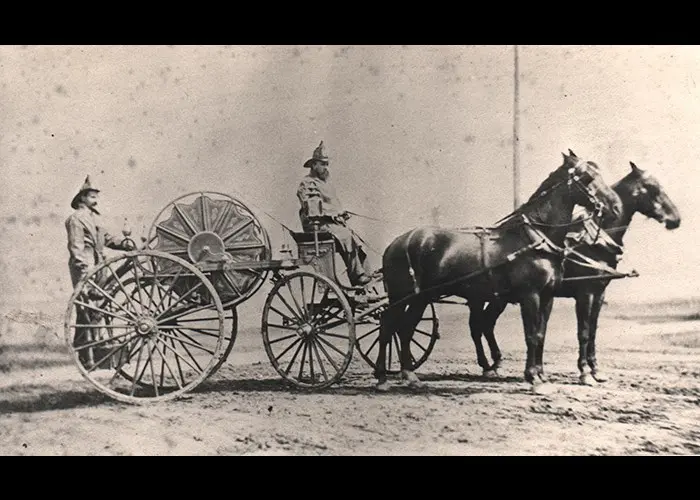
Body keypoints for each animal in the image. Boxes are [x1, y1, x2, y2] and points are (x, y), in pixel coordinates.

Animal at [374, 149, 620, 394]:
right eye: (588, 177)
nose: (615, 207)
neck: (535, 238)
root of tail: (398, 242)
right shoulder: (531, 295)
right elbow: (532, 335)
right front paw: (534, 378)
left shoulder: (548, 296)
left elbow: (541, 334)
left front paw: (541, 375)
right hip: (404, 295)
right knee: (389, 325)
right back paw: (383, 378)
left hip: (423, 297)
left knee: (406, 328)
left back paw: (409, 375)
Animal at [468, 158, 680, 384]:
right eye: (651, 187)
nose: (676, 219)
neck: (593, 242)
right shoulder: (584, 293)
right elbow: (583, 332)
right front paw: (585, 372)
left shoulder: (598, 293)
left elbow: (593, 331)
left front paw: (596, 370)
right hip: (488, 297)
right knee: (479, 326)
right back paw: (488, 365)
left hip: (498, 297)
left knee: (485, 324)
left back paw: (494, 363)